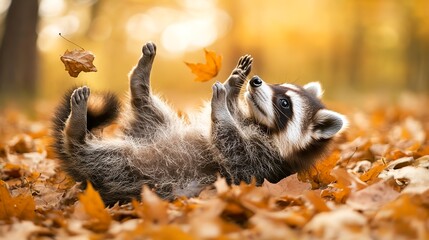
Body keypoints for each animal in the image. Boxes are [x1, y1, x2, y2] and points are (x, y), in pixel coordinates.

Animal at [52, 42, 348, 205]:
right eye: (280, 86)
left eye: (285, 103)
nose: (256, 82)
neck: (261, 125)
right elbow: (231, 118)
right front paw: (233, 87)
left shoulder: (263, 165)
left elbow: (232, 147)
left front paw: (221, 109)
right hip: (151, 130)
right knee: (149, 112)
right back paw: (139, 80)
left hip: (132, 175)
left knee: (102, 159)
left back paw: (75, 133)